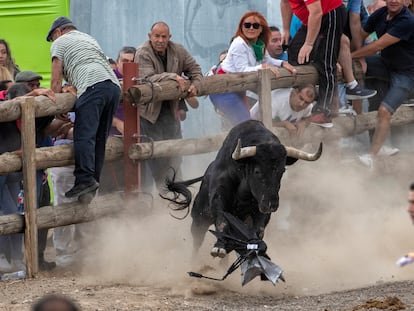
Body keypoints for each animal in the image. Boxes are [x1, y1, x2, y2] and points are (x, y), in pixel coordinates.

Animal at [160, 120, 322, 260]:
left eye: (282, 171)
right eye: (257, 171)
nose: (272, 204)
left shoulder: (260, 209)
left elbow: (259, 230)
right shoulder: (219, 199)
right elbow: (222, 222)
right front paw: (218, 248)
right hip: (199, 219)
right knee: (197, 242)